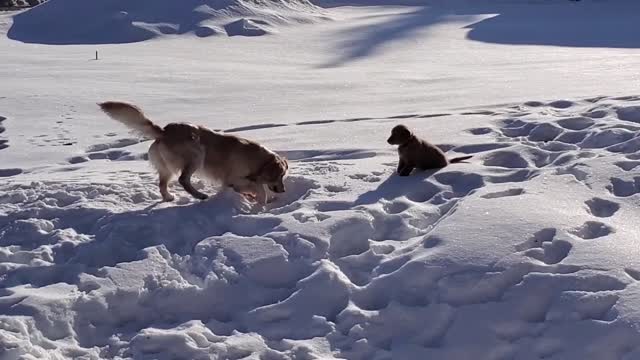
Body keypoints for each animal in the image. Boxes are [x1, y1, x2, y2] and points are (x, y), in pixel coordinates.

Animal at [98, 101, 288, 204]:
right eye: (279, 176)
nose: (283, 190)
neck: (256, 160)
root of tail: (164, 131)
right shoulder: (234, 178)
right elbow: (258, 187)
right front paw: (260, 200)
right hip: (197, 153)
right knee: (183, 179)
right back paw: (200, 195)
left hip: (167, 166)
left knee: (162, 184)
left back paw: (169, 197)